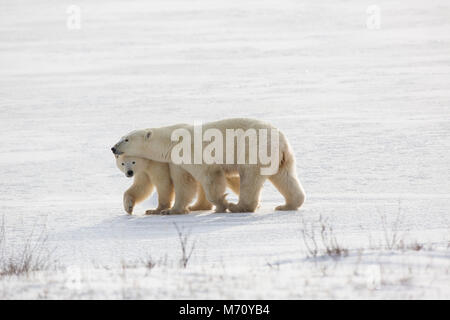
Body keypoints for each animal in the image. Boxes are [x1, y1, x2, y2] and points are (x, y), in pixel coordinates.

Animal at [111, 117, 306, 212]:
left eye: (126, 139)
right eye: (121, 137)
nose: (113, 148)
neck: (172, 140)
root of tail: (281, 142)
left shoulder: (192, 151)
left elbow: (209, 176)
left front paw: (222, 204)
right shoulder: (176, 160)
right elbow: (184, 182)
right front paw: (179, 209)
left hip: (254, 150)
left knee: (250, 178)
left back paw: (239, 207)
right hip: (283, 158)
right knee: (285, 177)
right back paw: (288, 205)